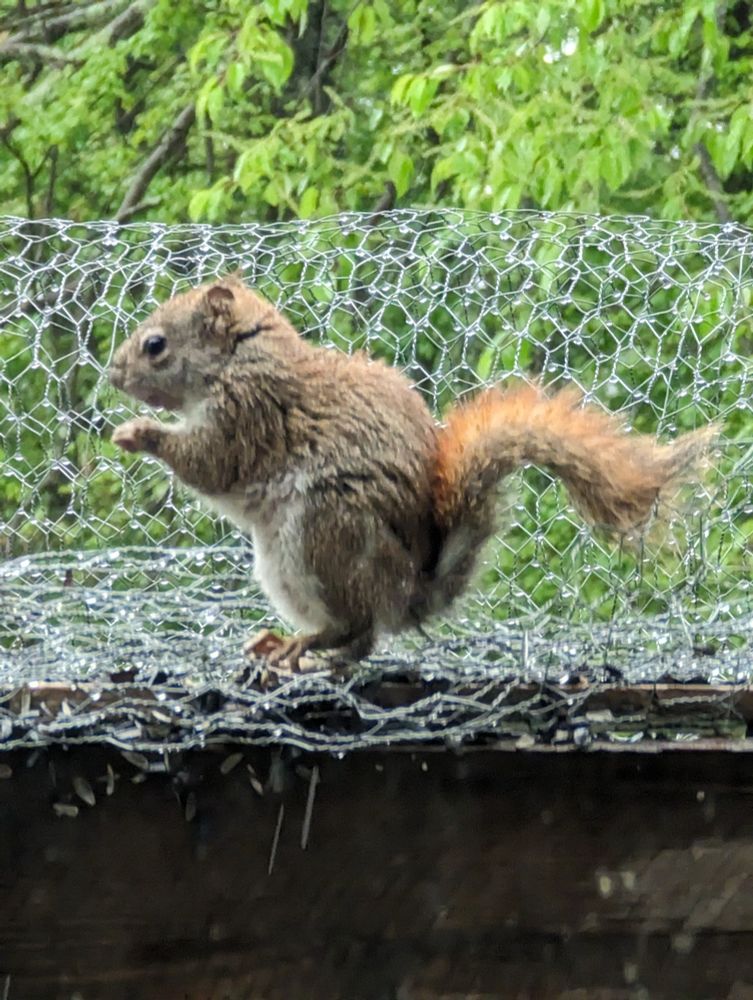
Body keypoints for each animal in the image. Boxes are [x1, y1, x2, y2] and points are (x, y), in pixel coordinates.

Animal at [109, 276, 717, 672]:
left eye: (155, 345)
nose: (113, 375)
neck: (240, 357)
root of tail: (408, 595)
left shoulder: (249, 413)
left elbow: (211, 463)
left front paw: (138, 432)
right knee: (361, 641)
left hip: (321, 533)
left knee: (357, 629)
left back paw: (302, 646)